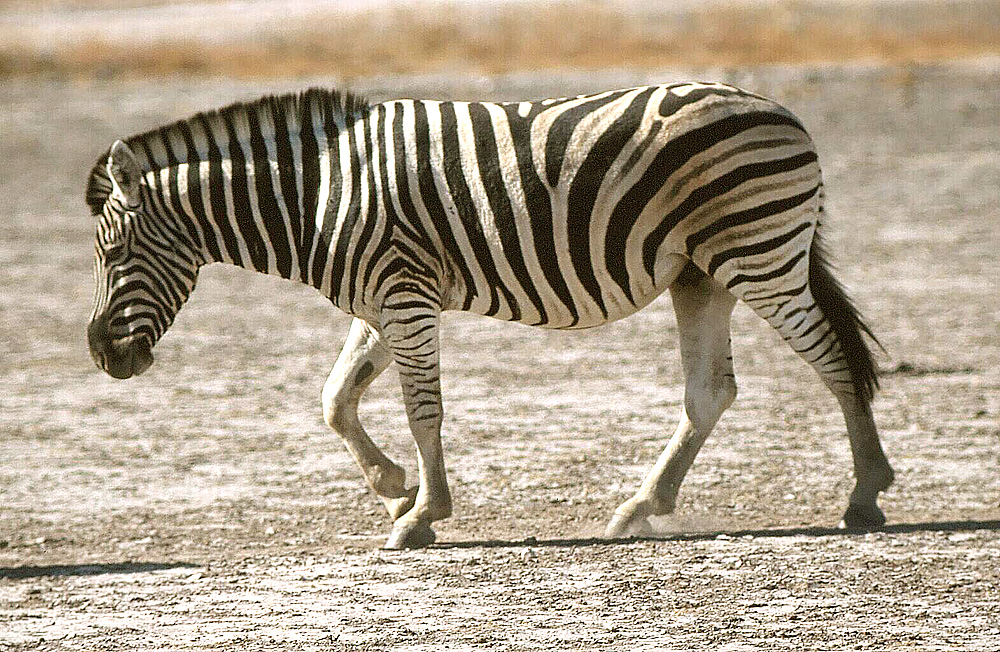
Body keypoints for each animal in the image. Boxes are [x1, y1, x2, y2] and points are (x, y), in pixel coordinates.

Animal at [86, 83, 896, 552]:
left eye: (115, 250)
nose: (100, 355)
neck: (314, 198)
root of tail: (783, 112)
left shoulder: (404, 294)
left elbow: (423, 410)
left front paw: (421, 515)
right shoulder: (381, 300)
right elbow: (335, 399)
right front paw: (393, 487)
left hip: (755, 254)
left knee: (832, 358)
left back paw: (864, 494)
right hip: (700, 274)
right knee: (711, 392)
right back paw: (640, 507)